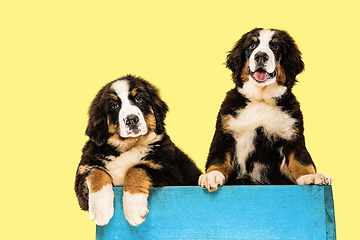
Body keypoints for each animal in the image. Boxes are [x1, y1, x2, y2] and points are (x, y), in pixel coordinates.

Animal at [200, 28, 332, 192]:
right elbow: (218, 159)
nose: (261, 56)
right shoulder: (224, 135)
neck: (261, 100)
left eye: (275, 47)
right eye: (251, 45)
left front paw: (312, 177)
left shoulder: (292, 139)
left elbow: (301, 161)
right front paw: (211, 176)